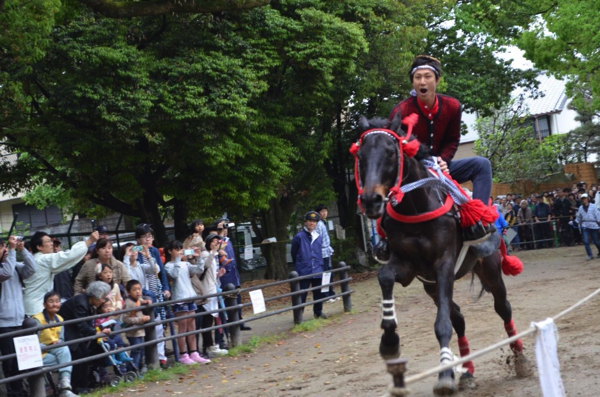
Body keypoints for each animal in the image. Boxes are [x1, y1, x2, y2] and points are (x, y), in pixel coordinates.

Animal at [352, 113, 528, 392]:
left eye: (391, 152)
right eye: (360, 155)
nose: (370, 200)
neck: (416, 205)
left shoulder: (444, 264)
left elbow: (442, 324)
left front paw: (445, 374)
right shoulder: (407, 266)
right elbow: (385, 277)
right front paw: (389, 340)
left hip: (489, 269)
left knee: (503, 308)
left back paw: (519, 356)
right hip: (431, 287)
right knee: (459, 319)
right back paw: (467, 370)